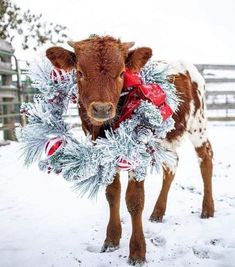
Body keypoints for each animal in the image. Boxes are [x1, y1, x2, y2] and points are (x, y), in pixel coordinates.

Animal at [46, 35, 215, 266]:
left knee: (206, 158)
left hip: (198, 124)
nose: (101, 109)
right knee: (172, 164)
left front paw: (137, 252)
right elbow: (112, 194)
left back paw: (207, 209)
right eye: (79, 72)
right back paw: (158, 212)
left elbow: (134, 200)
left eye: (121, 73)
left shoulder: (137, 153)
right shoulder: (103, 153)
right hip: (164, 139)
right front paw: (111, 239)